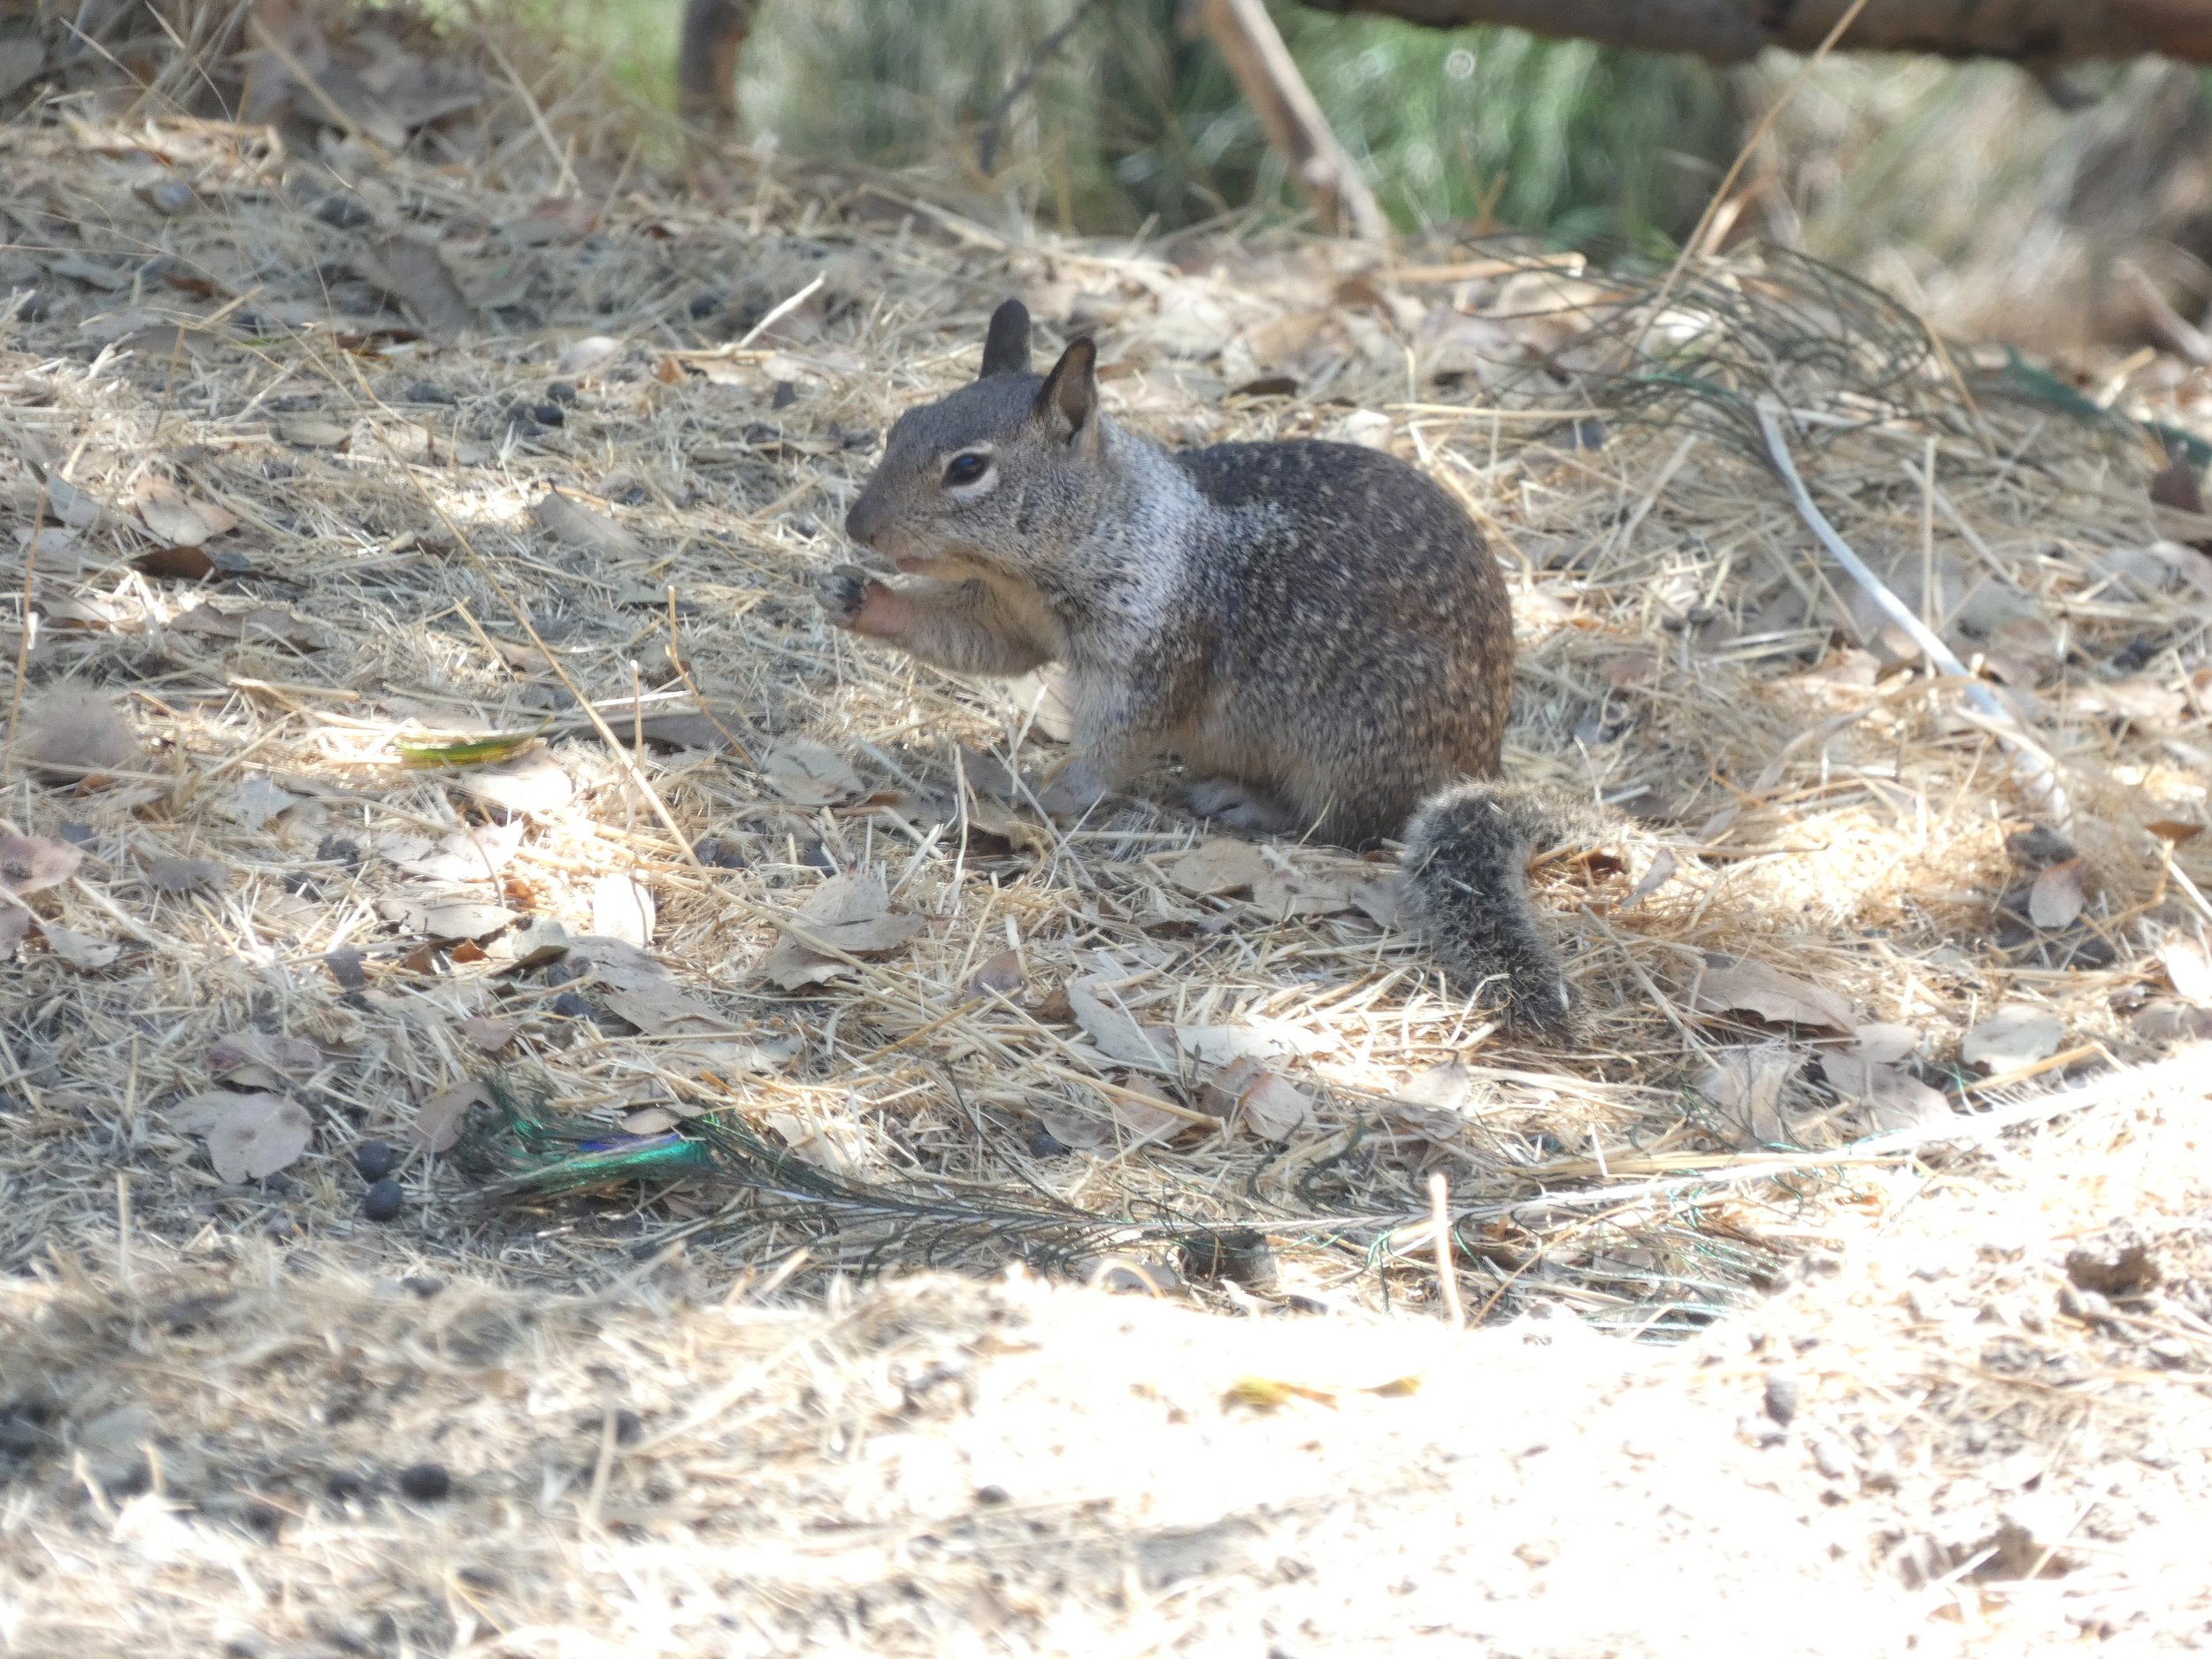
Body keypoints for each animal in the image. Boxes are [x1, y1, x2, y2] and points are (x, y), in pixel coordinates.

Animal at [819, 299, 1619, 1032]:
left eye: (968, 468)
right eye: (901, 425)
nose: (859, 525)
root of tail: (1484, 764)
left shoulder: (1154, 650)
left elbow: (1115, 742)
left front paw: (1045, 794)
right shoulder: (1011, 617)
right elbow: (974, 641)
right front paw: (856, 598)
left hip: (1353, 741)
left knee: (1344, 823)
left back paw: (1246, 802)